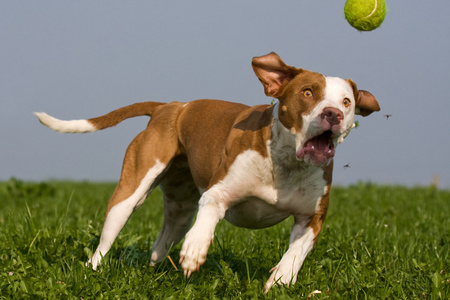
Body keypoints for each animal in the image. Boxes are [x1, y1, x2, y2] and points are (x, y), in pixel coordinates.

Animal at [35, 52, 380, 292]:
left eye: (346, 101)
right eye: (307, 92)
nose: (333, 114)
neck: (286, 164)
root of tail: (171, 107)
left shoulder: (311, 218)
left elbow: (296, 253)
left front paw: (281, 280)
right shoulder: (219, 193)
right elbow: (210, 214)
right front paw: (195, 251)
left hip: (180, 206)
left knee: (162, 241)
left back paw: (155, 269)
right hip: (131, 192)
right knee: (107, 240)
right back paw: (93, 270)